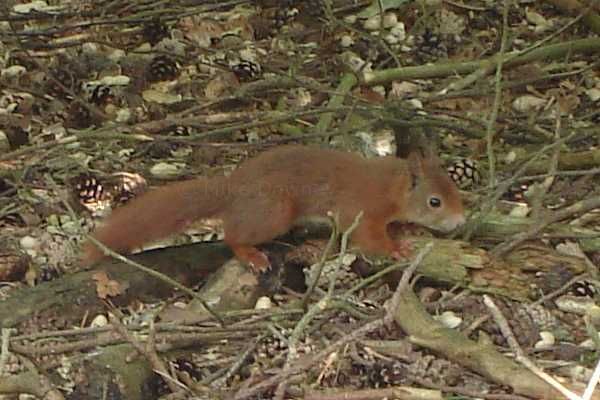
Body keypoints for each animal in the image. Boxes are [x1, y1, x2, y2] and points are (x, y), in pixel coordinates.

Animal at [82, 145, 466, 270]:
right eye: (435, 201)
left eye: (456, 189)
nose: (461, 220)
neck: (390, 186)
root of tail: (233, 187)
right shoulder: (360, 208)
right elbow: (365, 235)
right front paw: (395, 248)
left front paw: (408, 228)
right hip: (273, 212)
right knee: (232, 235)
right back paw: (250, 255)